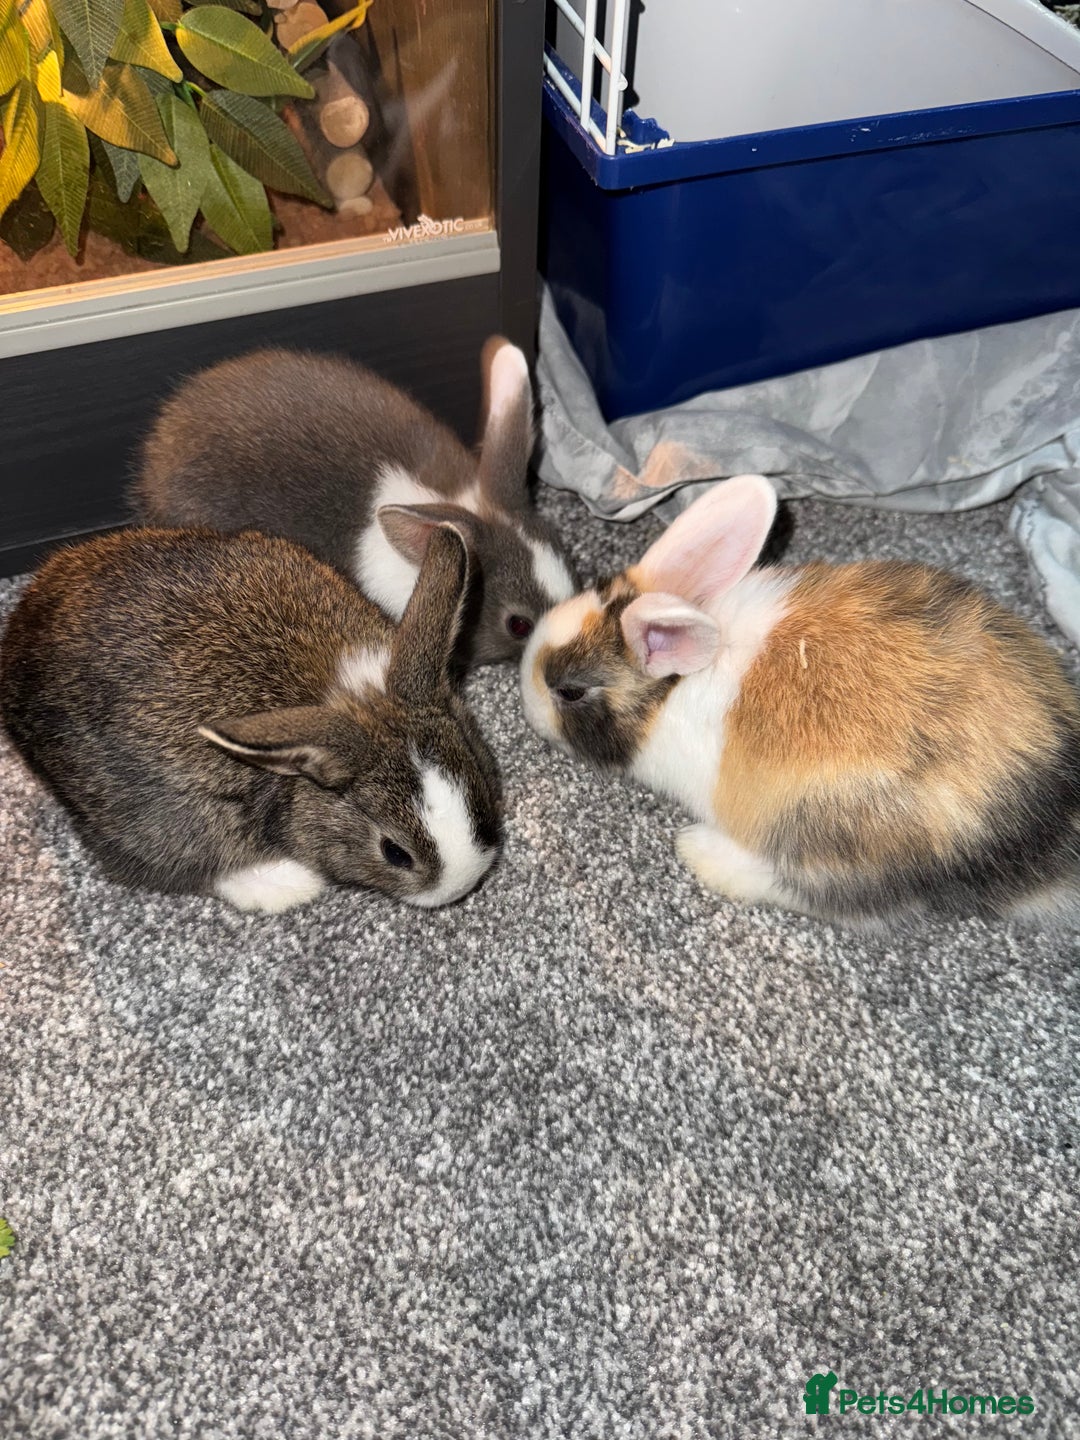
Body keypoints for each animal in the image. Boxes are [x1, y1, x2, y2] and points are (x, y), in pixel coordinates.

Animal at [520, 474, 1080, 927]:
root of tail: (1049, 826)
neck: (671, 690)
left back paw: (700, 851)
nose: (524, 697)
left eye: (569, 691)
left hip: (829, 838)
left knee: (842, 899)